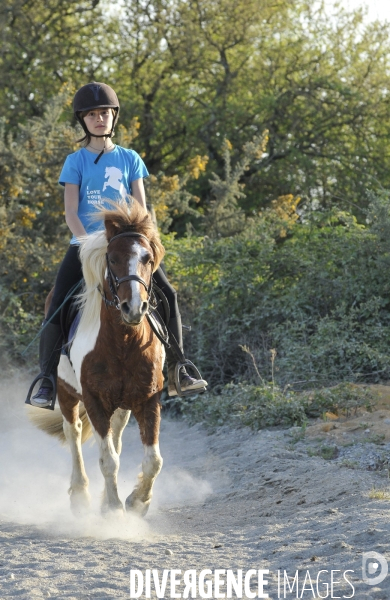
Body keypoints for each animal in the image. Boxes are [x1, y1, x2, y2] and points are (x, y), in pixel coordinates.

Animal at [29, 200, 166, 516]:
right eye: (112, 259)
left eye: (148, 258)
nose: (133, 307)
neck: (124, 342)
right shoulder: (94, 400)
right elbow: (108, 460)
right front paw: (114, 511)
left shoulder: (148, 398)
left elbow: (153, 460)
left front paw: (137, 502)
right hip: (66, 392)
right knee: (73, 432)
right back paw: (80, 496)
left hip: (123, 404)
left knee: (116, 436)